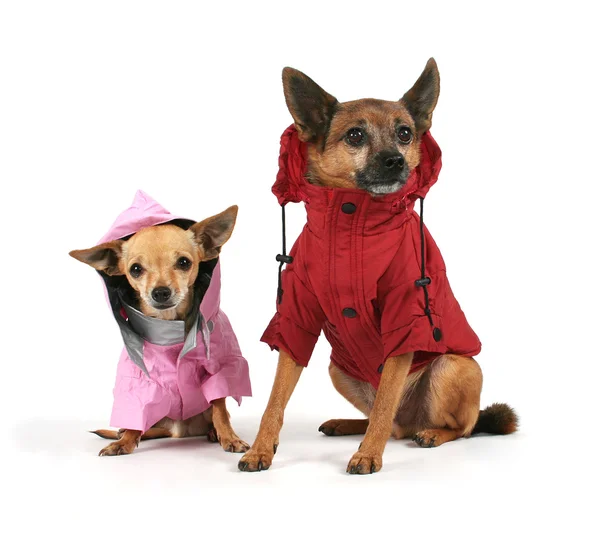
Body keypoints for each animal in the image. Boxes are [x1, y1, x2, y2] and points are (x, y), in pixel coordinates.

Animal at [71, 206, 250, 456]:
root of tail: (179, 431)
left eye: (184, 263)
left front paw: (230, 437)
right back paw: (126, 434)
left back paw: (213, 433)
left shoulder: (218, 369)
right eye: (135, 269)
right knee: (143, 425)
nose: (160, 292)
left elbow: (220, 408)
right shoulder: (139, 381)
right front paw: (125, 442)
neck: (169, 327)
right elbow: (136, 410)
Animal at [238, 59, 516, 472]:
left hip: (455, 366)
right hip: (338, 370)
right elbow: (275, 400)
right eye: (355, 135)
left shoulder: (404, 319)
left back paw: (430, 433)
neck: (350, 219)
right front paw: (260, 448)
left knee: (453, 426)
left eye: (405, 133)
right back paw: (347, 424)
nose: (396, 160)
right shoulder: (297, 316)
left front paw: (368, 454)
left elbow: (385, 403)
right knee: (393, 424)